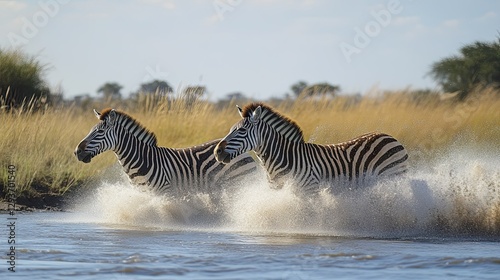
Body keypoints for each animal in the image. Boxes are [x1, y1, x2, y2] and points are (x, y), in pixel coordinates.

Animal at [76, 108, 260, 196]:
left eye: (99, 132)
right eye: (91, 130)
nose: (77, 151)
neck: (142, 159)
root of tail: (246, 153)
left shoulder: (164, 191)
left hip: (237, 182)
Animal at [213, 103, 408, 192]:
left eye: (242, 131)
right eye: (230, 130)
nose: (217, 152)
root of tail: (388, 136)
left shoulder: (310, 191)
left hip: (392, 175)